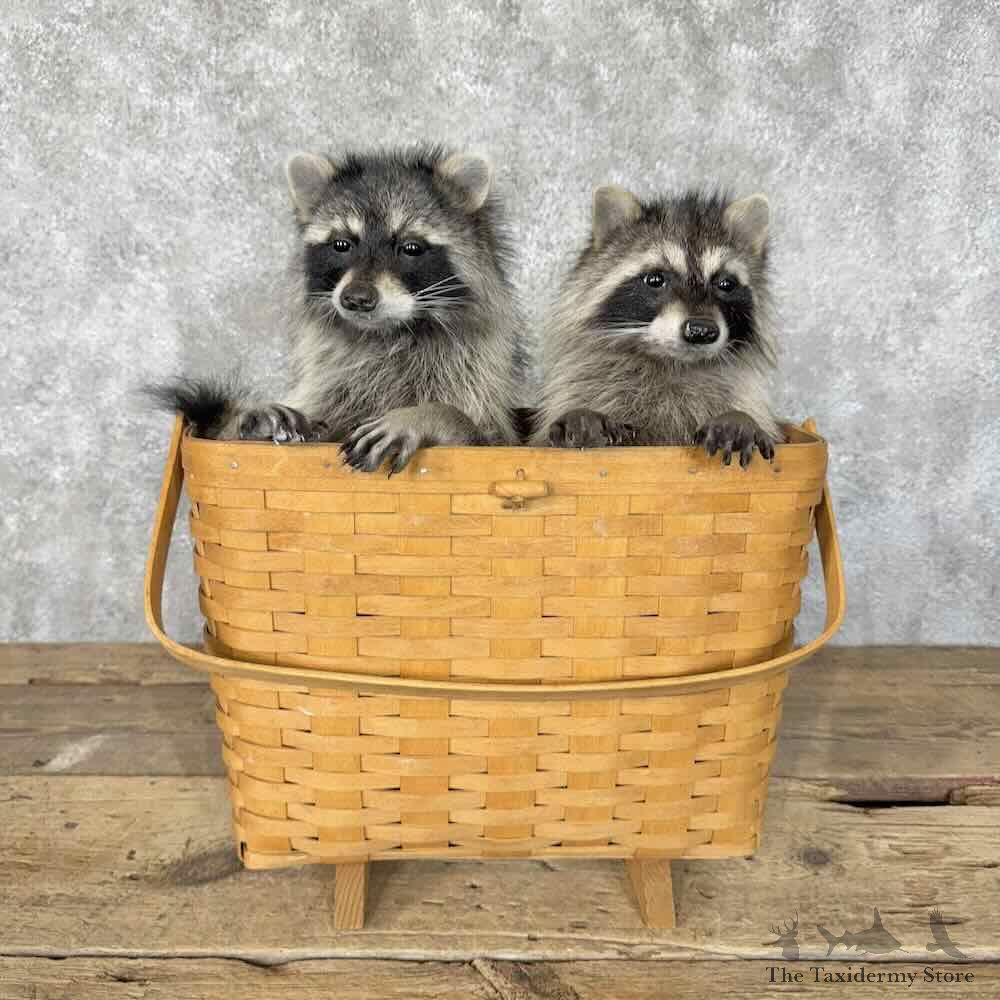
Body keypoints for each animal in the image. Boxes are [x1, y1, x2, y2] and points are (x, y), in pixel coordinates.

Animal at [155, 145, 524, 473]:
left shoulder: (473, 390)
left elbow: (480, 438)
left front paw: (431, 414)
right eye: (341, 244)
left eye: (410, 248)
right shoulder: (328, 396)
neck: (385, 335)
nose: (356, 298)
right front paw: (243, 418)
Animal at [534, 186, 782, 467]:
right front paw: (582, 416)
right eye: (655, 279)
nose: (701, 330)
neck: (673, 364)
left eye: (726, 284)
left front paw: (738, 420)